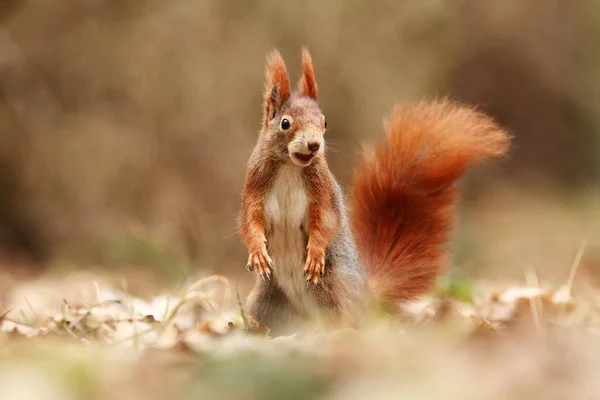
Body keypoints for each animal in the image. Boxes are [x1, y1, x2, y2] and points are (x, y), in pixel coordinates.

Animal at [239, 47, 510, 334]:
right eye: (285, 123)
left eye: (324, 122)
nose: (314, 145)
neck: (290, 167)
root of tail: (366, 295)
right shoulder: (254, 188)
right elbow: (250, 221)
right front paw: (257, 252)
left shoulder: (323, 193)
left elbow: (326, 221)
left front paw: (315, 253)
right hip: (266, 297)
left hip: (330, 287)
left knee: (342, 317)